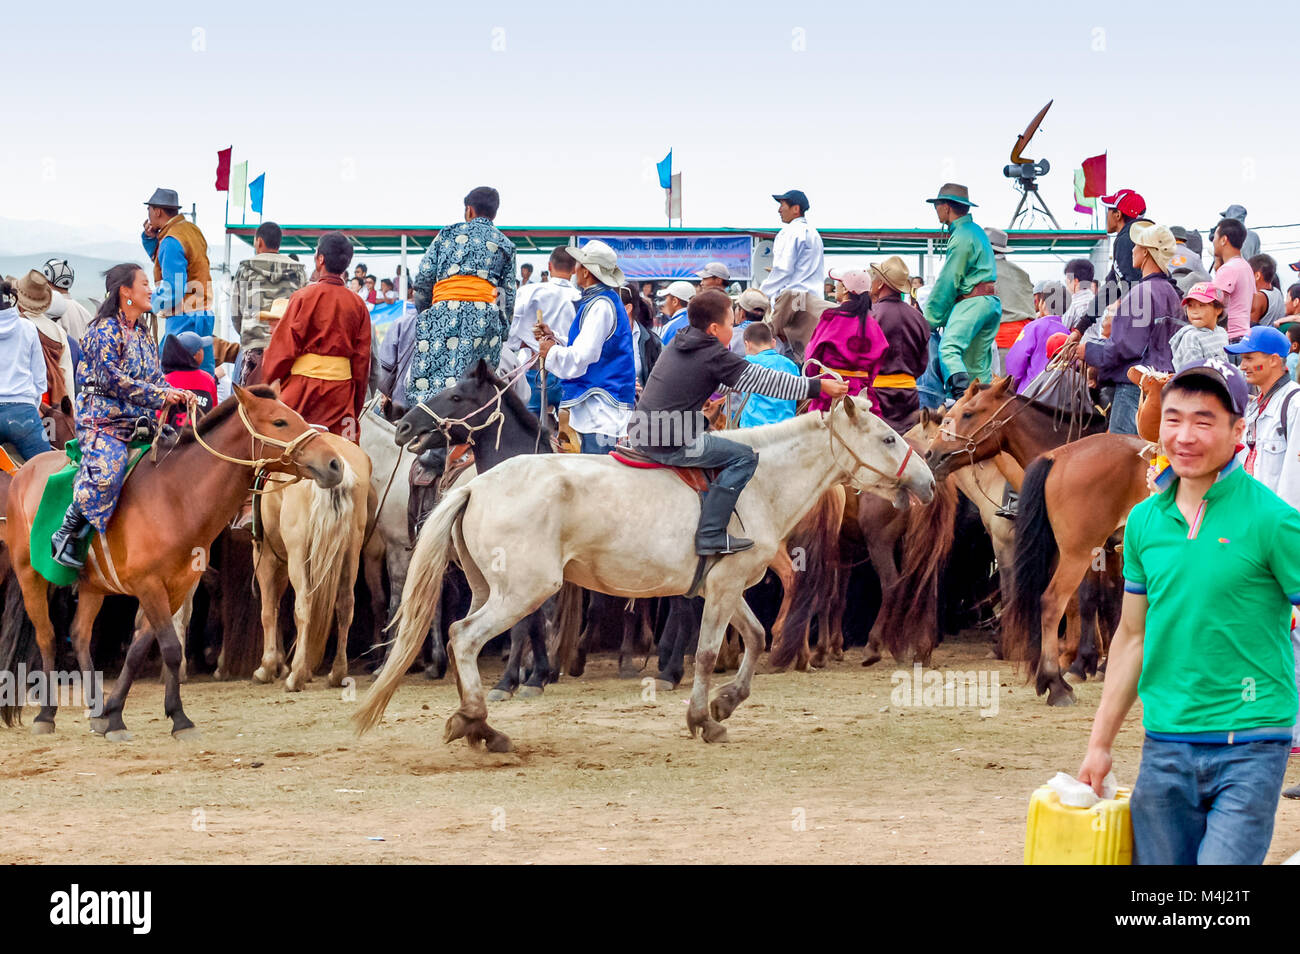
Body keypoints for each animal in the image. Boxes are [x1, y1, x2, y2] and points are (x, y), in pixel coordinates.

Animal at [1, 384, 345, 743]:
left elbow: (140, 651)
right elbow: (169, 647)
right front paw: (178, 718)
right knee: (47, 637)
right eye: (280, 421)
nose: (335, 463)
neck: (176, 496)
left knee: (80, 635)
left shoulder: (177, 587)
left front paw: (114, 715)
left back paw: (95, 711)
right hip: (29, 576)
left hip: (93, 585)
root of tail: (23, 472)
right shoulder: (149, 585)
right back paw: (46, 714)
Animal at [356, 397, 935, 753]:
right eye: (887, 439)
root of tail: (475, 484)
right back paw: (479, 723)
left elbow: (755, 636)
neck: (758, 481)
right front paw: (703, 718)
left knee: (464, 641)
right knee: (463, 636)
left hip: (487, 588)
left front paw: (726, 702)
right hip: (522, 592)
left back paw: (476, 724)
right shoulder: (723, 589)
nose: (928, 481)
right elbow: (707, 653)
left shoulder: (728, 586)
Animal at [925, 376, 1149, 707]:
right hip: (1076, 552)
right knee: (1052, 601)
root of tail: (1058, 457)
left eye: (968, 413)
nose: (931, 455)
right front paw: (1086, 663)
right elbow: (1094, 600)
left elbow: (1108, 600)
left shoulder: (1108, 550)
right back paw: (1056, 683)